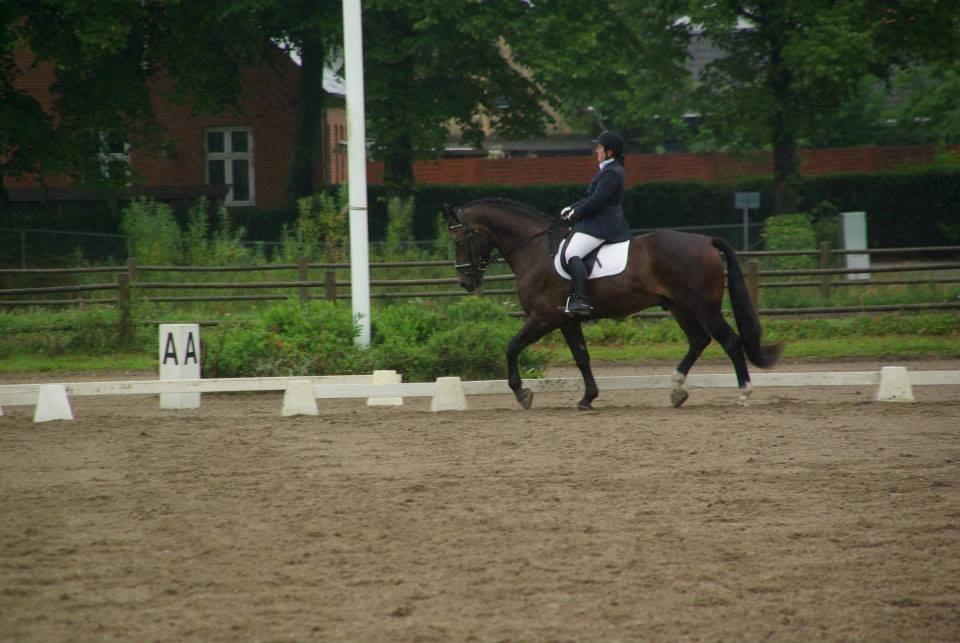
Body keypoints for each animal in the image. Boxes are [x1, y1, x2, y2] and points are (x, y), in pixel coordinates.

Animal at [446, 199, 784, 410]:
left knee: (729, 341)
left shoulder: (543, 318)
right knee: (699, 340)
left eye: (460, 241)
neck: (535, 250)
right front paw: (588, 398)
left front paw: (522, 393)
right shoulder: (567, 320)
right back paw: (676, 390)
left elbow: (512, 347)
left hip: (705, 307)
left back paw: (743, 394)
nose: (465, 282)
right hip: (680, 306)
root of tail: (706, 241)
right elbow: (582, 357)